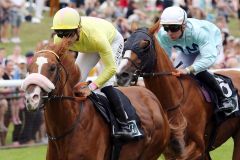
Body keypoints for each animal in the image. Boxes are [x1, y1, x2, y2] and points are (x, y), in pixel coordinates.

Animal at [116, 21, 240, 159]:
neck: (175, 98)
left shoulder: (197, 147)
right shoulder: (170, 150)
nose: (121, 75)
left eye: (145, 46)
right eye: (126, 43)